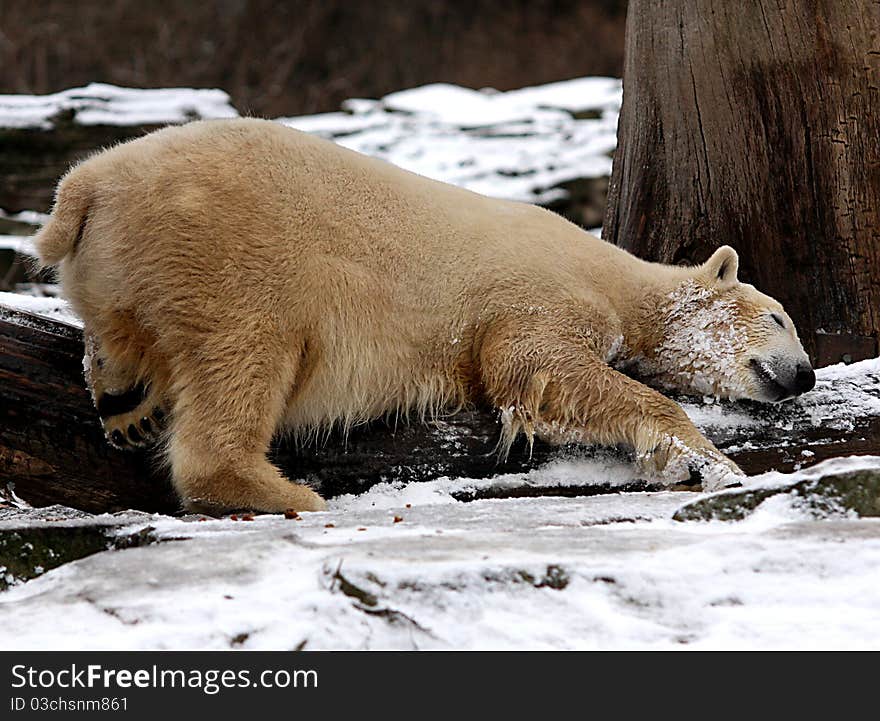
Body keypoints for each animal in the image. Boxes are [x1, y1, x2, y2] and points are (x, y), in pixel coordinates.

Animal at [34, 116, 820, 512]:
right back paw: (286, 491)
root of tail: (88, 183)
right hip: (227, 252)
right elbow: (535, 367)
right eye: (781, 319)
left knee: (129, 337)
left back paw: (125, 402)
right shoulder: (539, 291)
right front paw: (707, 461)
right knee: (245, 356)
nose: (807, 374)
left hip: (128, 265)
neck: (611, 270)